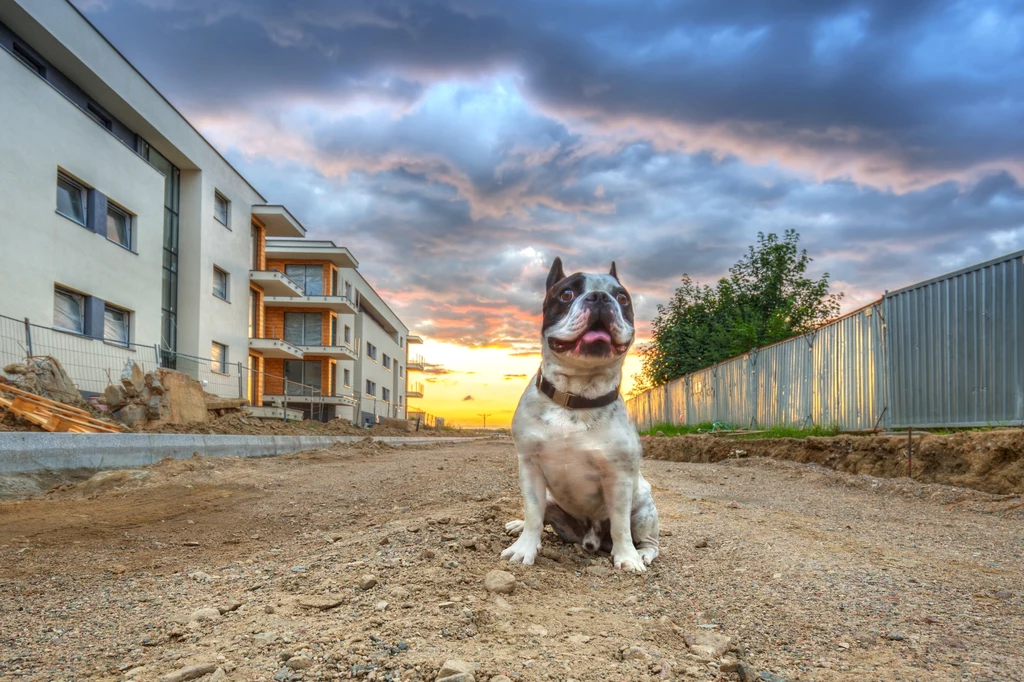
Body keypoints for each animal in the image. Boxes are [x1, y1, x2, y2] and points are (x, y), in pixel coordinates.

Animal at [499, 258, 659, 569]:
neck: (577, 397)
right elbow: (533, 514)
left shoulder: (619, 478)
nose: (599, 297)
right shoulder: (531, 468)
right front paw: (524, 548)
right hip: (553, 501)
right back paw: (517, 525)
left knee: (648, 538)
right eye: (566, 294)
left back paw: (643, 554)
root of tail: (589, 538)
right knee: (540, 516)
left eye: (622, 298)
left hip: (645, 509)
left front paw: (627, 557)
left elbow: (620, 525)